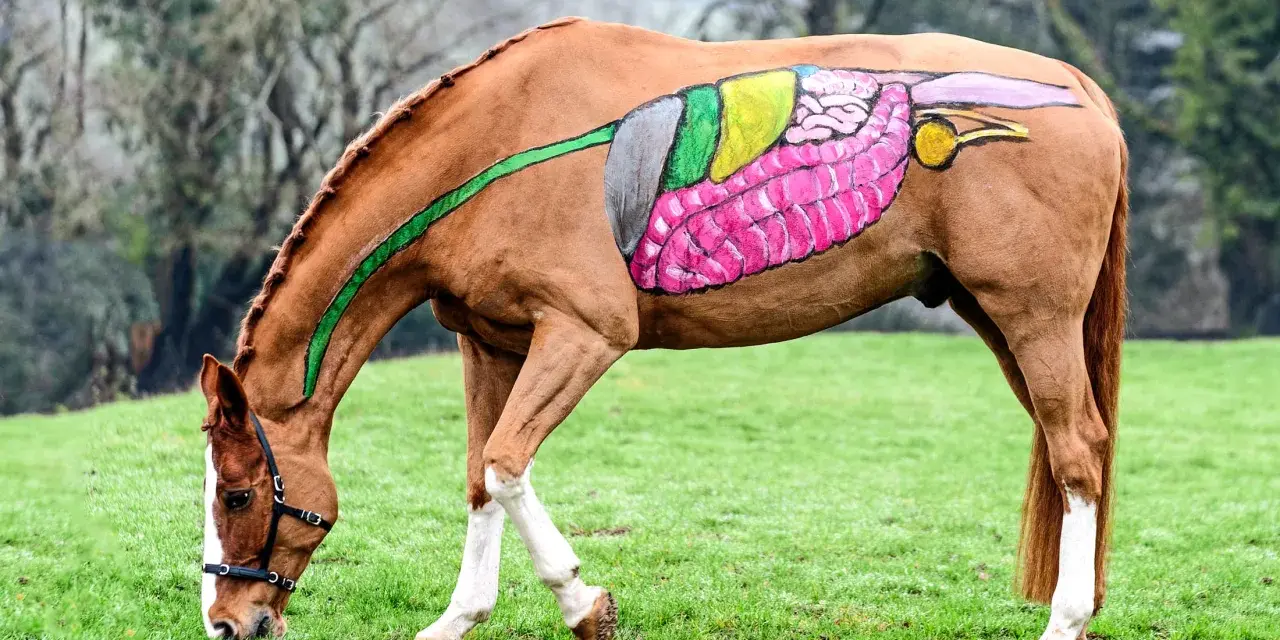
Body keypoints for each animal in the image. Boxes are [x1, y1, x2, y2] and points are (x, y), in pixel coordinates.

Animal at [197, 17, 1126, 640]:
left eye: (238, 493)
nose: (226, 620)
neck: (498, 143)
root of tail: (1079, 87)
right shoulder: (491, 344)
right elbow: (478, 478)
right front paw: (462, 616)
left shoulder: (583, 334)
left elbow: (505, 465)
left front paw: (585, 602)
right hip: (999, 320)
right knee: (1079, 447)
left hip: (1032, 318)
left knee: (1077, 450)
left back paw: (1065, 619)